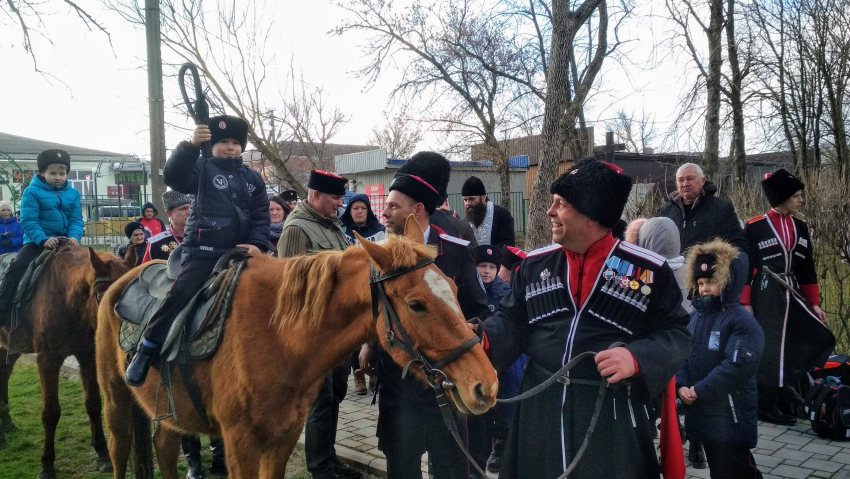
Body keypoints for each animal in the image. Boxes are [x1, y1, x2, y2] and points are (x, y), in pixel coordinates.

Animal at [0, 246, 134, 478]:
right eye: (103, 296)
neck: (67, 301)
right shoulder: (47, 360)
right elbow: (50, 412)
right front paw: (47, 465)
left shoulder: (87, 355)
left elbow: (93, 404)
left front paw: (102, 454)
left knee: (4, 375)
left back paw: (6, 423)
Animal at [97, 218, 496, 479]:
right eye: (416, 304)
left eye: (454, 288)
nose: (486, 385)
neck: (277, 338)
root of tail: (127, 273)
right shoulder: (239, 442)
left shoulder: (283, 436)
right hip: (115, 398)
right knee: (119, 447)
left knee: (163, 446)